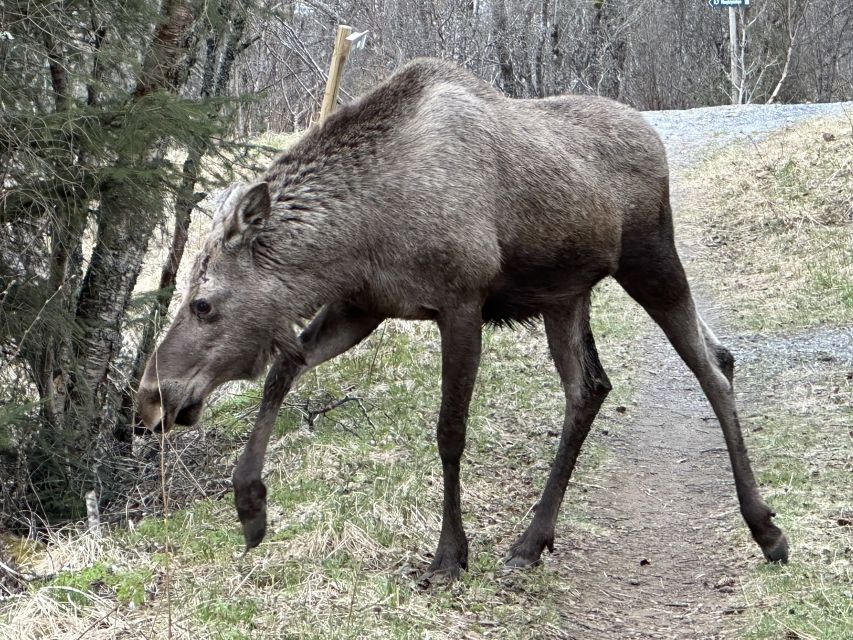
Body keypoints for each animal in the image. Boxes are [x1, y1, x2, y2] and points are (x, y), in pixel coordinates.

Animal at [138, 58, 784, 576]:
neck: (359, 237)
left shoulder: (460, 302)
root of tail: (654, 137)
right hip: (565, 295)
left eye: (203, 303)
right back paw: (532, 540)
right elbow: (282, 371)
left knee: (711, 368)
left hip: (651, 257)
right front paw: (250, 504)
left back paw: (765, 528)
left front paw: (450, 553)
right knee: (596, 386)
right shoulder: (361, 307)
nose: (150, 396)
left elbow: (450, 432)